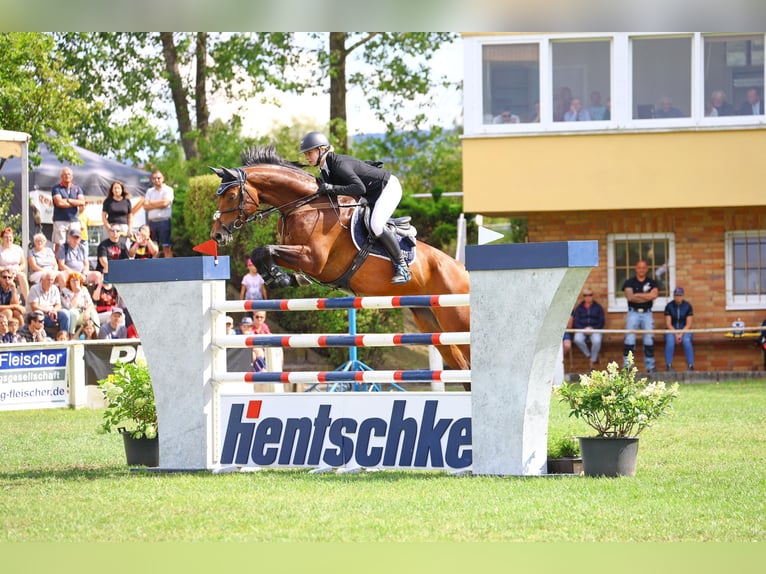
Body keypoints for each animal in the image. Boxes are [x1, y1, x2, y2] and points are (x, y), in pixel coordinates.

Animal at [212, 146, 474, 376]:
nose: (217, 235)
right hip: (432, 324)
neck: (305, 204)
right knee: (462, 369)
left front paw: (279, 277)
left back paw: (402, 271)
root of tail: (462, 269)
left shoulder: (313, 258)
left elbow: (264, 249)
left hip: (458, 320)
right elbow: (261, 252)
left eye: (232, 195)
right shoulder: (303, 257)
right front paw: (284, 278)